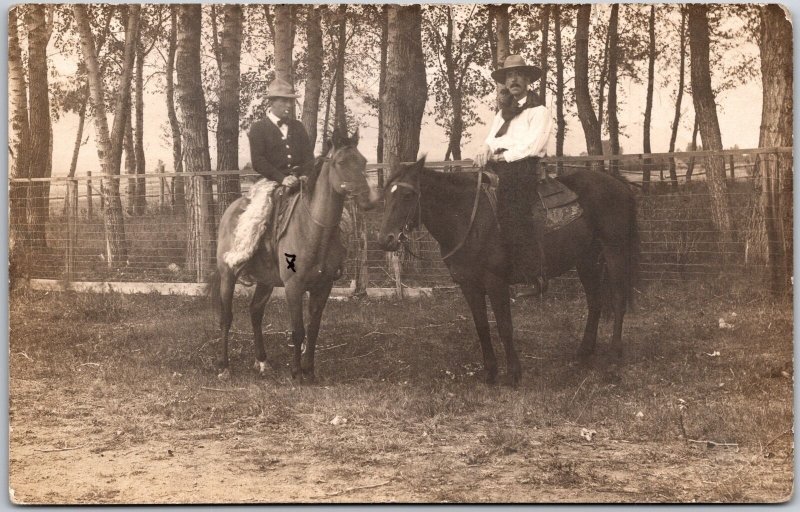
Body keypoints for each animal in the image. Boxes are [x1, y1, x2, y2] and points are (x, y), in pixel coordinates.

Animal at [209, 130, 378, 382]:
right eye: (340, 163)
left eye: (364, 161)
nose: (370, 200)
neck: (314, 230)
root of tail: (233, 208)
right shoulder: (293, 287)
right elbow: (298, 330)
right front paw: (297, 372)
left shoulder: (323, 286)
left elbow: (313, 329)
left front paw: (309, 371)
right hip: (228, 273)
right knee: (226, 317)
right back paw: (224, 367)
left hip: (266, 281)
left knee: (255, 311)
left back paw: (262, 361)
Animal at [378, 158, 640, 386]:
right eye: (386, 195)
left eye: (408, 195)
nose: (385, 239)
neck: (469, 220)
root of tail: (617, 182)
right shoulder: (469, 285)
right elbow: (482, 327)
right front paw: (490, 372)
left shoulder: (496, 282)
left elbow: (504, 326)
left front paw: (513, 374)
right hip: (586, 260)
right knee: (595, 302)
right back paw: (585, 351)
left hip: (615, 252)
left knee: (618, 300)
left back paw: (614, 354)